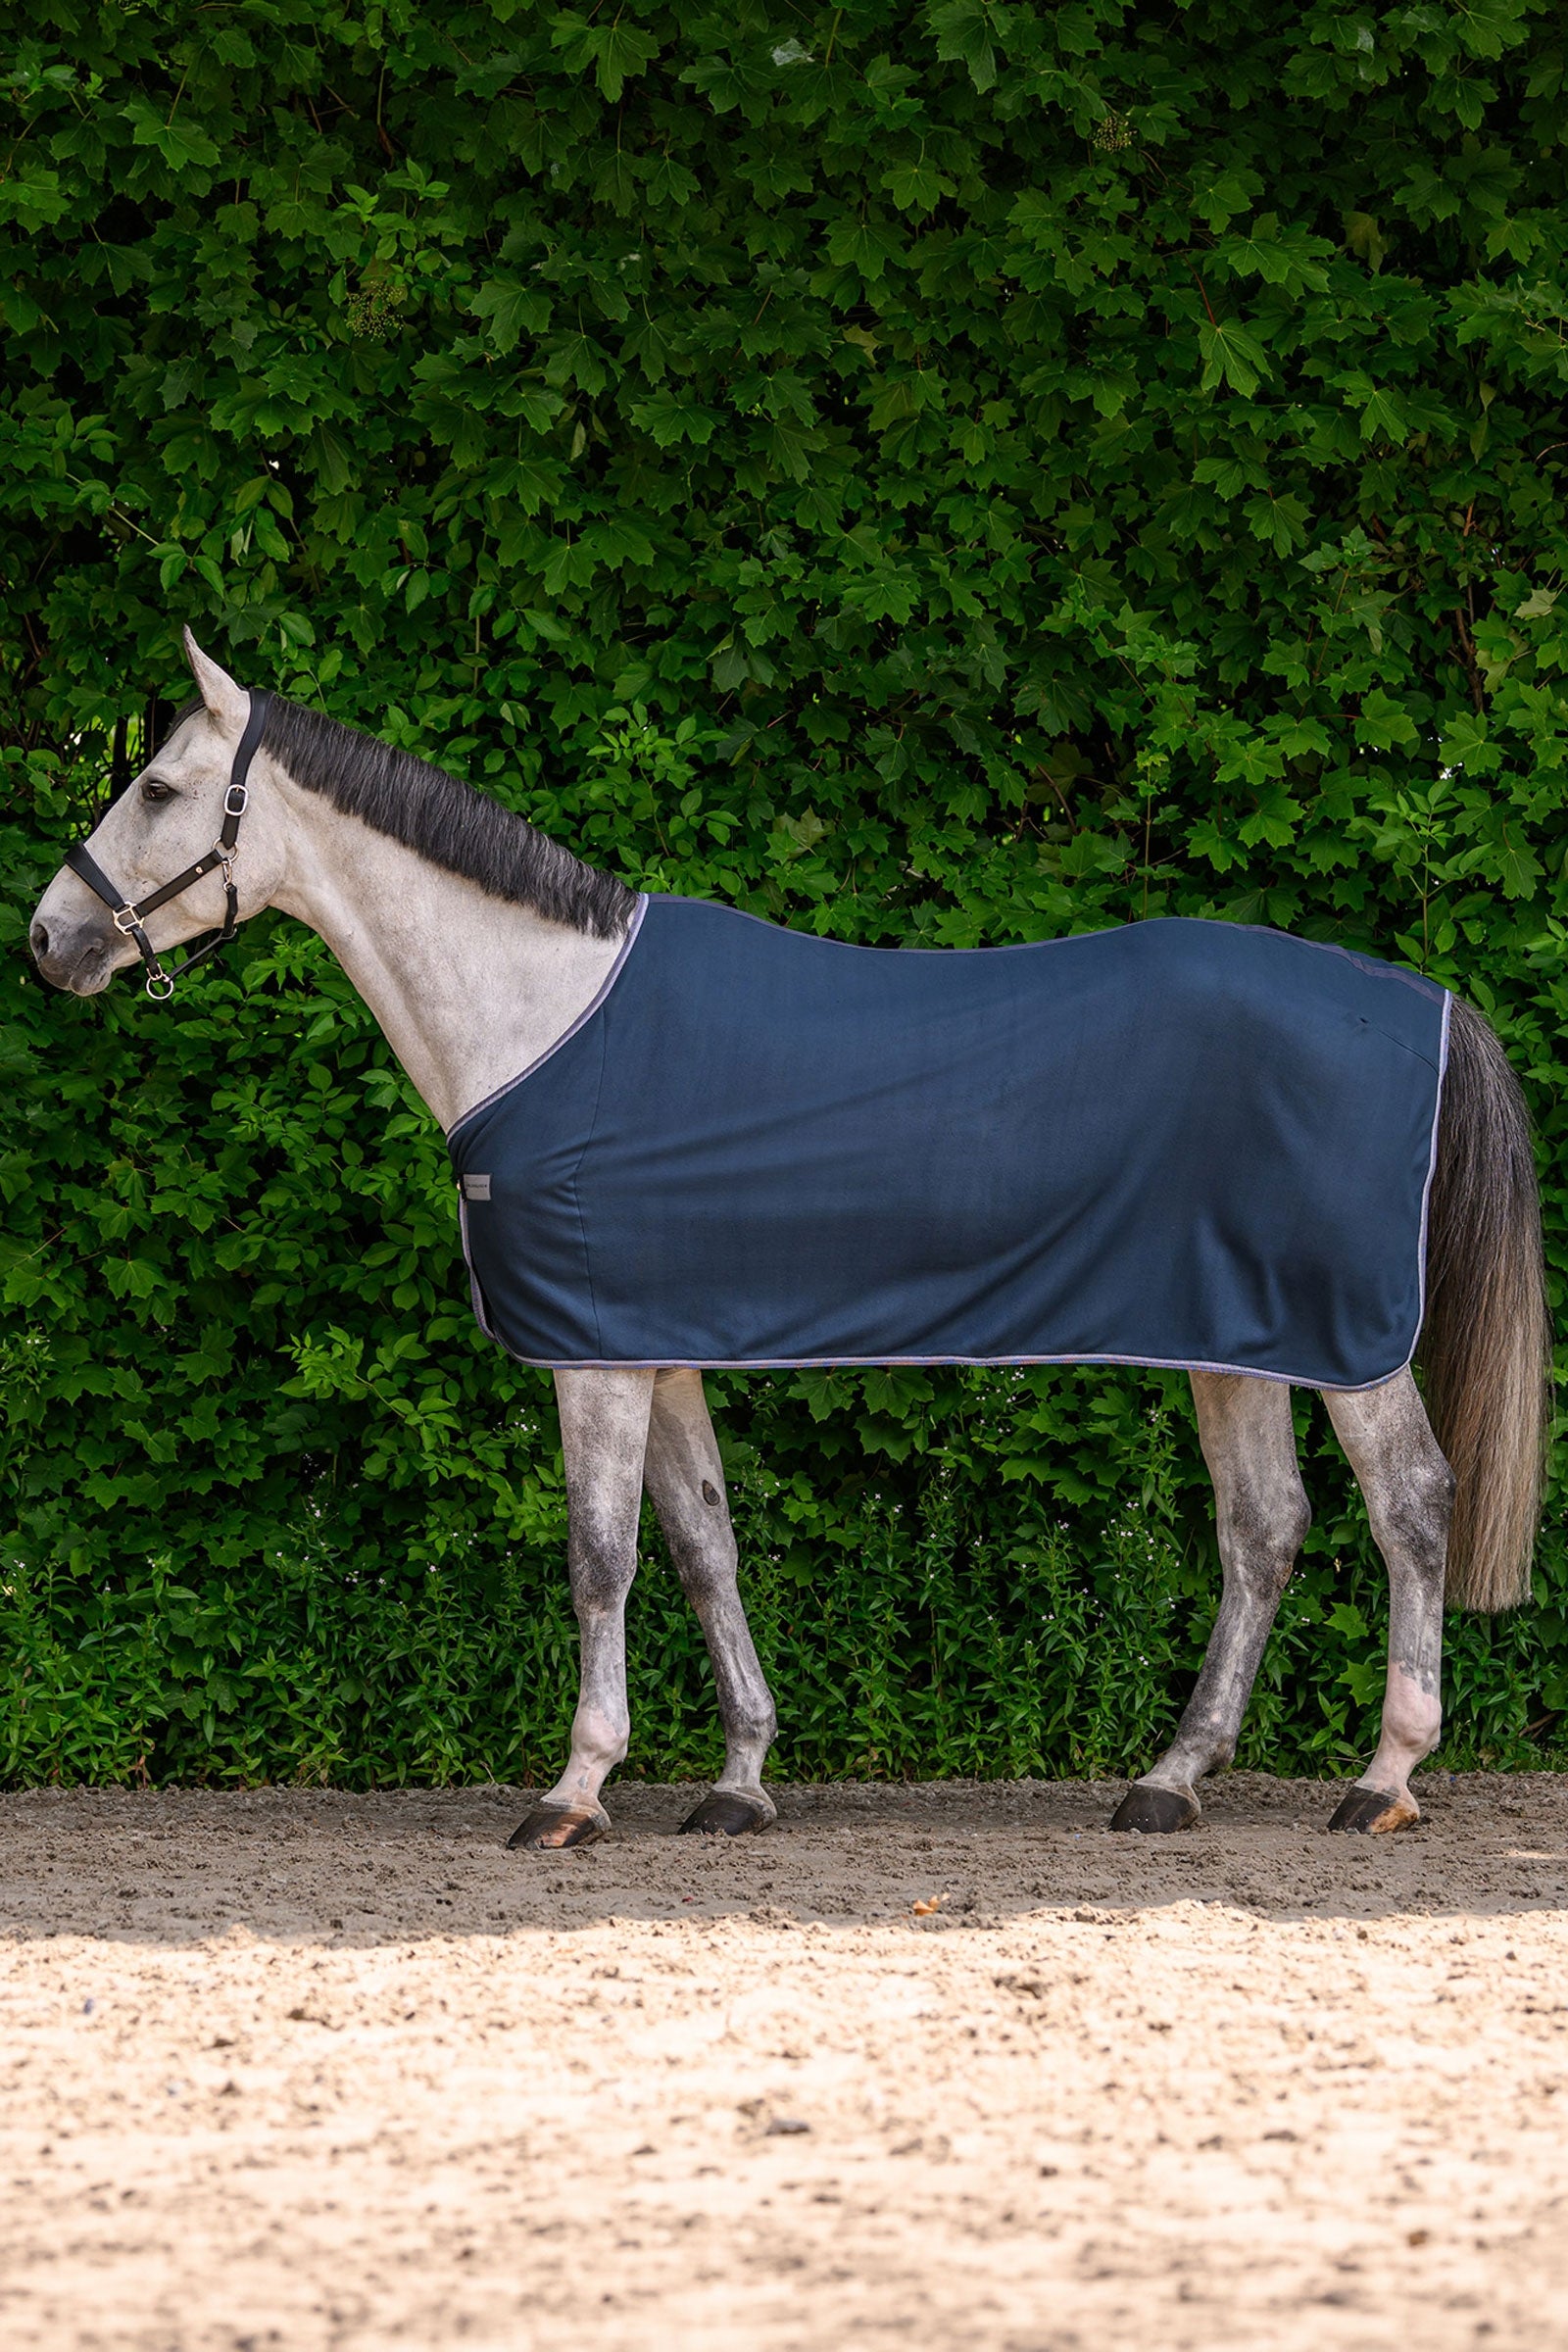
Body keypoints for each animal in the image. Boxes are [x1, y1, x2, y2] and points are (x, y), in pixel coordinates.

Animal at [29, 632, 1550, 1850]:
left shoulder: (593, 1358)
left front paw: (573, 1794)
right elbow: (704, 1544)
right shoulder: (655, 1347)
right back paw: (1169, 1782)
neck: (542, 1012)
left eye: (157, 788)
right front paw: (740, 1781)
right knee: (1264, 1530)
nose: (49, 942)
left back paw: (1382, 1779)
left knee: (1412, 1505)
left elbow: (599, 1558)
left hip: (1347, 1338)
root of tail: (1427, 1001)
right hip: (1234, 1335)